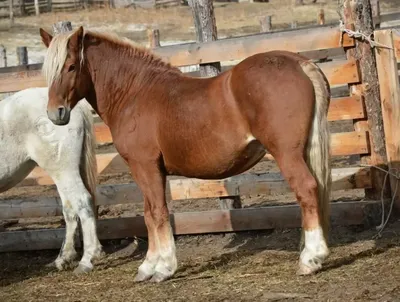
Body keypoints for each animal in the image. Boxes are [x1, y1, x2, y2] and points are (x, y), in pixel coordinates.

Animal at [0, 86, 103, 274]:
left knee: (83, 202)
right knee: (70, 209)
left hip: (63, 169)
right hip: (62, 173)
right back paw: (63, 258)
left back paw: (86, 261)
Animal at [39, 26, 332, 284]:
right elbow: (148, 214)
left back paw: (310, 259)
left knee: (306, 189)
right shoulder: (145, 170)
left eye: (71, 66)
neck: (135, 93)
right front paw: (147, 267)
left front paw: (163, 268)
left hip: (287, 154)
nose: (55, 113)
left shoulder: (145, 166)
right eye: (48, 71)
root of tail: (299, 63)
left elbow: (157, 212)